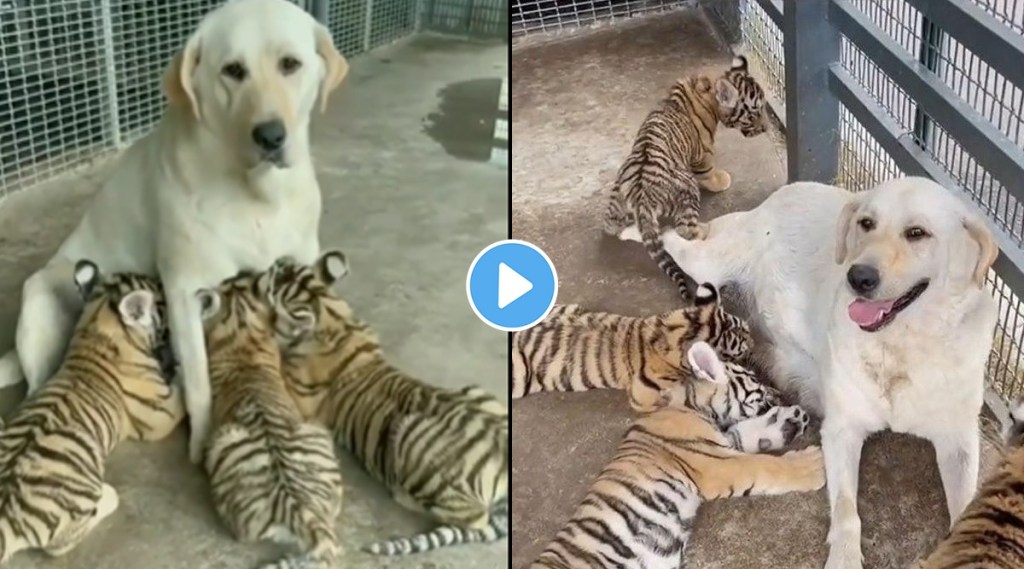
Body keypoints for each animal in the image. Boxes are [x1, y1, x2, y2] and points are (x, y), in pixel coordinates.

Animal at [0, 0, 348, 464]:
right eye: (233, 70)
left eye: (290, 64)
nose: (271, 136)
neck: (255, 193)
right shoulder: (185, 291)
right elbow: (200, 383)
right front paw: (201, 444)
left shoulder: (302, 263)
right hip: (39, 299)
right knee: (36, 388)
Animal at [659, 178, 995, 569]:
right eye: (866, 223)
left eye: (917, 233)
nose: (858, 277)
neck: (900, 347)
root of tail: (785, 192)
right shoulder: (841, 430)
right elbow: (848, 513)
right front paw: (845, 557)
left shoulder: (959, 440)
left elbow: (967, 507)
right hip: (707, 263)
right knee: (674, 243)